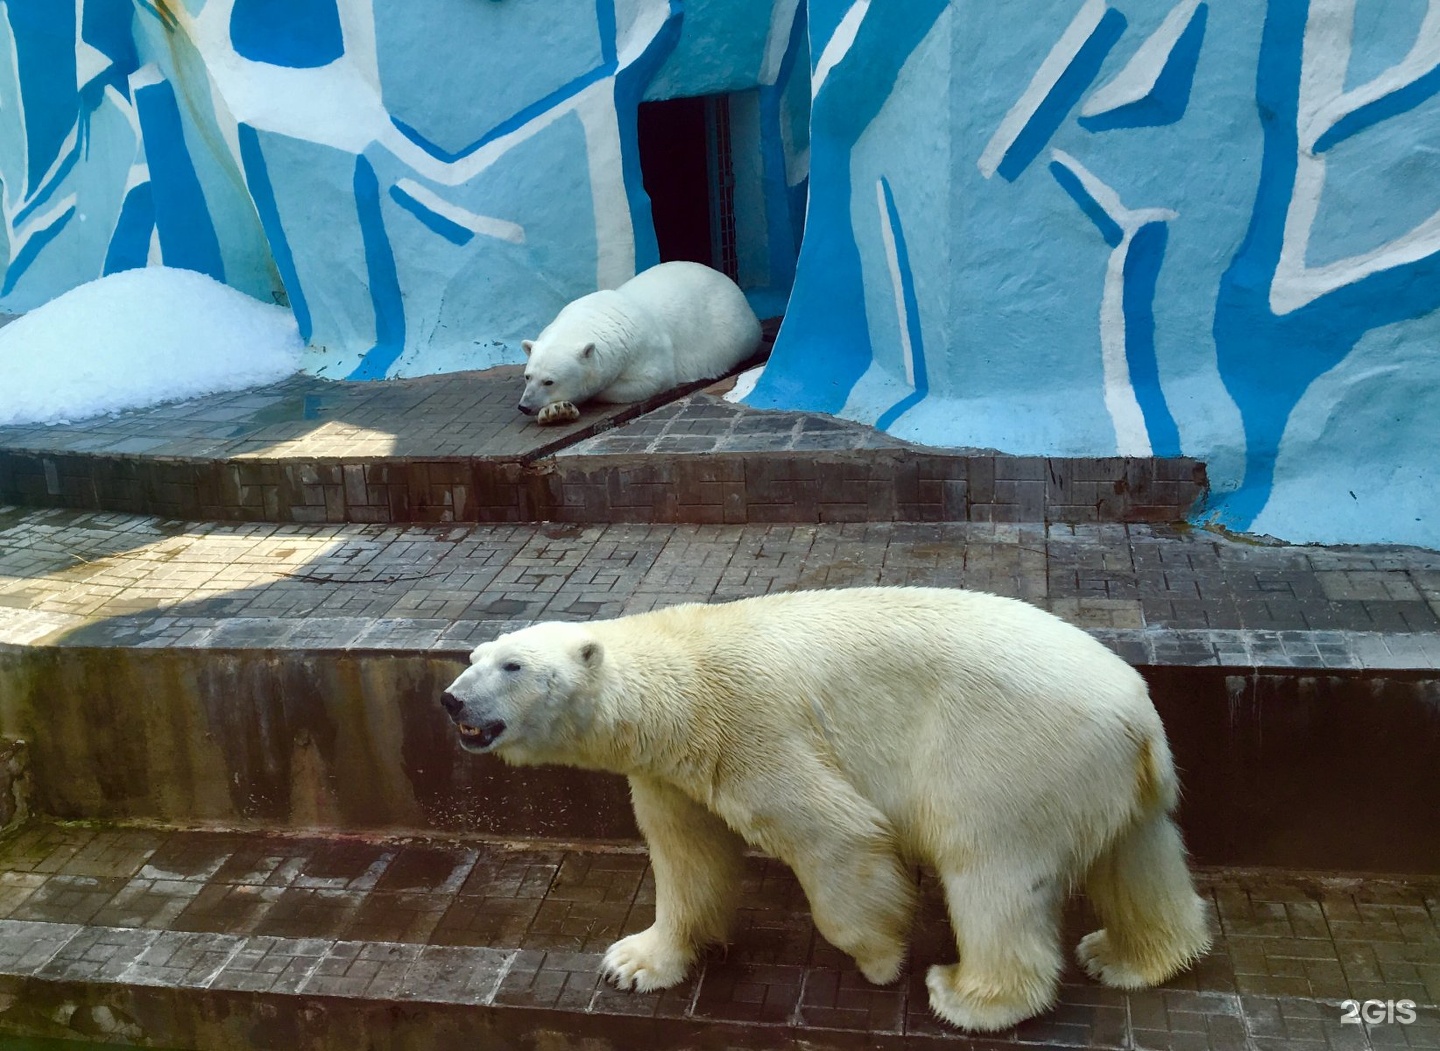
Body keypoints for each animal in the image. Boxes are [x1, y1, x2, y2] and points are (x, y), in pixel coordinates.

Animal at [437, 584, 1215, 1025]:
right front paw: (634, 961)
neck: (679, 680)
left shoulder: (749, 726)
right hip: (1105, 777)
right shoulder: (671, 772)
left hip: (1010, 754)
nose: (450, 700)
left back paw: (968, 996)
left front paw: (881, 957)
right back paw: (1130, 956)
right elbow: (688, 857)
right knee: (1140, 860)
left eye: (511, 665)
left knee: (990, 867)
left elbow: (835, 833)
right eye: (473, 657)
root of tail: (1140, 717)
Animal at [518, 260, 766, 423]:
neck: (599, 318)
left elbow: (650, 379)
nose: (524, 406)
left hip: (733, 331)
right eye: (528, 376)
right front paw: (555, 411)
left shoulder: (646, 351)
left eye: (549, 381)